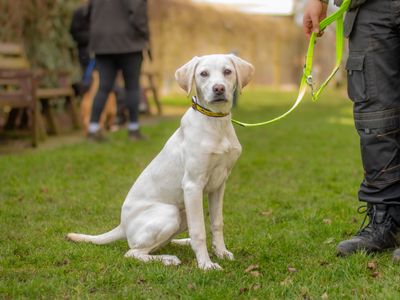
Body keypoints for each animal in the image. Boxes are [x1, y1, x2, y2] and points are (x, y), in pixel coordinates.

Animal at [65, 53, 253, 270]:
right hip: (170, 213)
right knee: (133, 252)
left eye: (227, 71)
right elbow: (199, 230)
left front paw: (220, 252)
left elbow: (217, 223)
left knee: (157, 245)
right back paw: (169, 259)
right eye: (203, 74)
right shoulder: (193, 185)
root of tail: (122, 225)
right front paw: (206, 264)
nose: (219, 89)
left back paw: (182, 243)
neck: (216, 123)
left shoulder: (219, 184)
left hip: (182, 215)